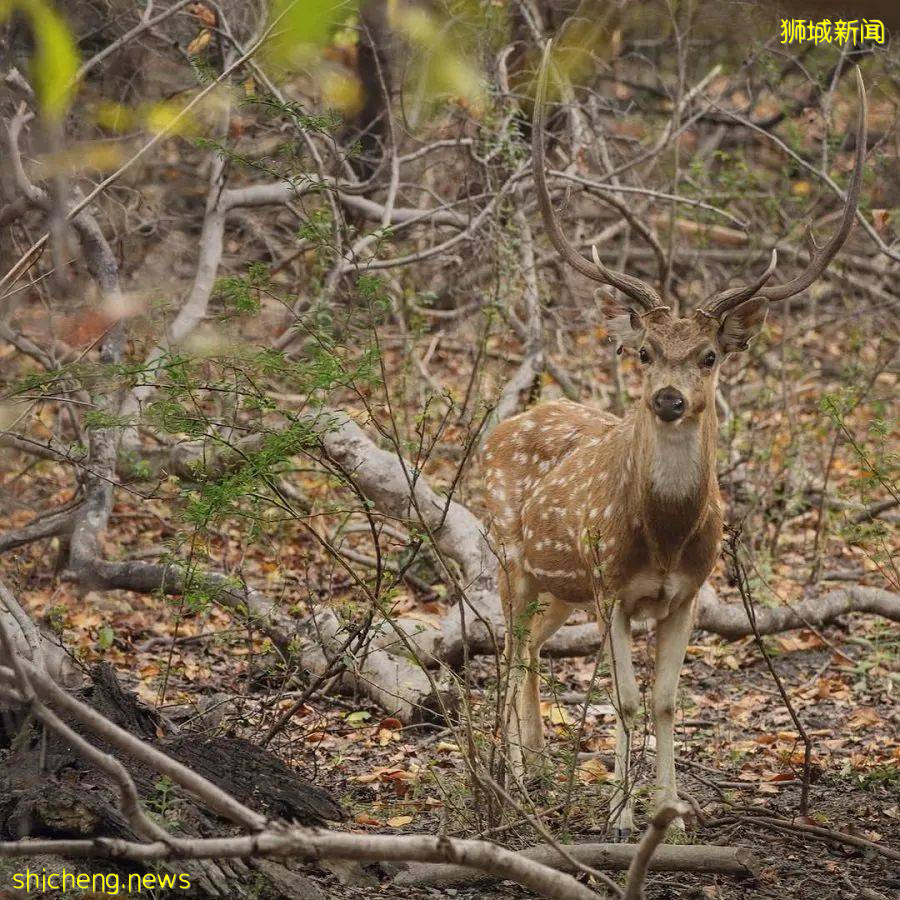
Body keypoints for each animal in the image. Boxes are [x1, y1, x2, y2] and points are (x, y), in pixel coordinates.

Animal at [482, 45, 868, 836]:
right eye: (644, 351)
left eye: (710, 356)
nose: (667, 398)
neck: (661, 535)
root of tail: (502, 425)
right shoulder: (612, 589)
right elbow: (626, 701)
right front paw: (620, 819)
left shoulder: (686, 594)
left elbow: (666, 701)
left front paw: (671, 815)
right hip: (510, 552)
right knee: (505, 648)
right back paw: (509, 781)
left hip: (560, 583)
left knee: (529, 646)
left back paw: (536, 771)